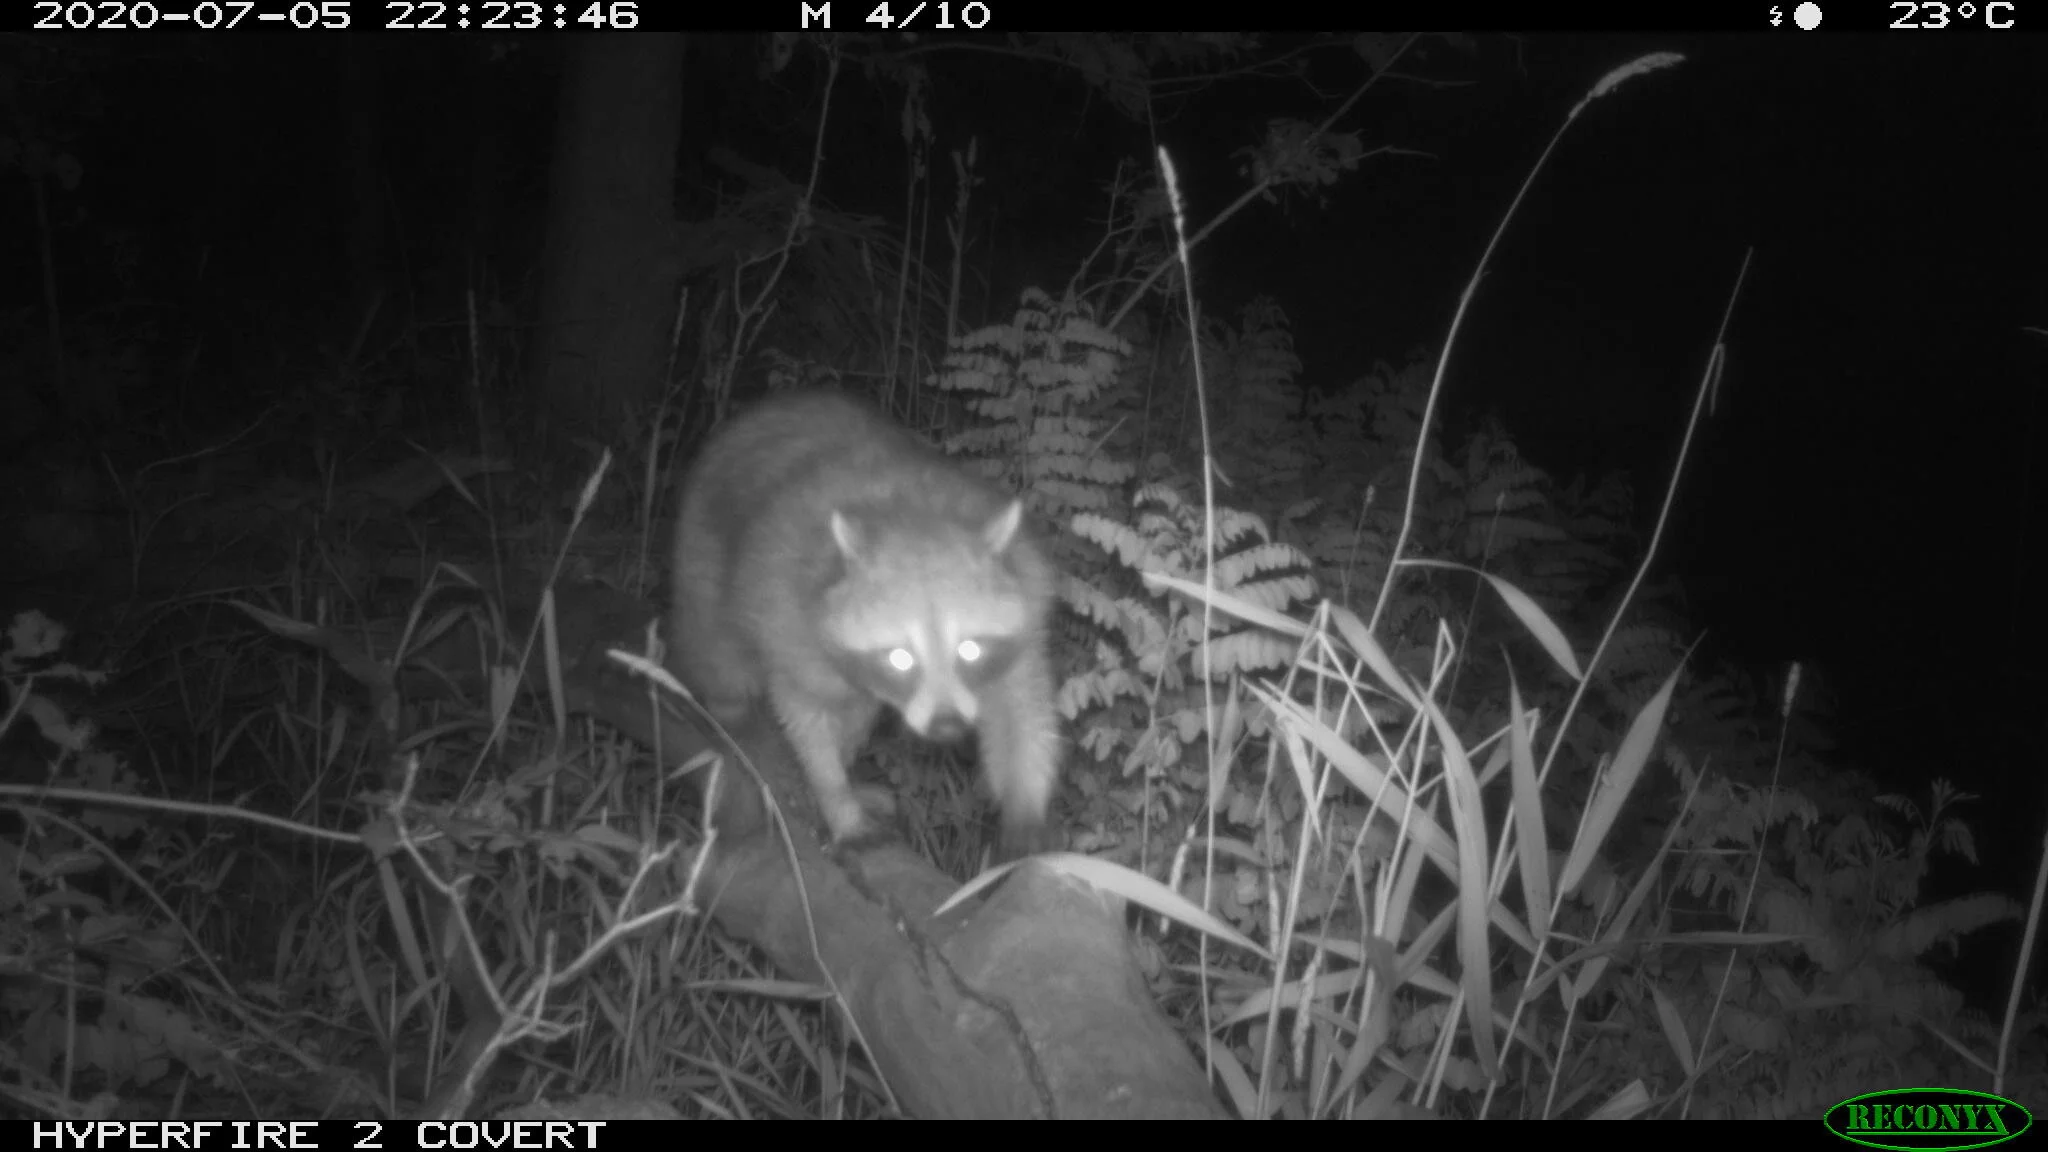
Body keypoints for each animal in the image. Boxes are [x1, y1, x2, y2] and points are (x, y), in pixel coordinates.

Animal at [667, 391, 1061, 856]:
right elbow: (805, 717)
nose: (946, 726)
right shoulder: (790, 619)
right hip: (702, 558)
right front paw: (837, 800)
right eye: (900, 658)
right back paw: (730, 713)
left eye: (969, 649)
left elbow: (1021, 715)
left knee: (857, 714)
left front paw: (1025, 810)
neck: (915, 517)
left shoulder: (1026, 606)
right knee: (721, 661)